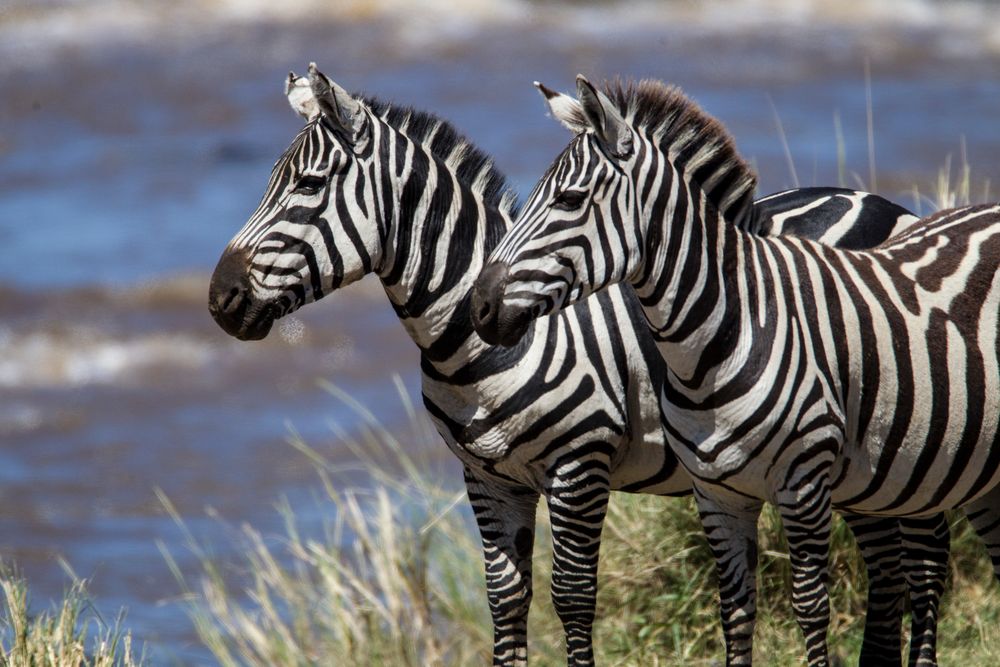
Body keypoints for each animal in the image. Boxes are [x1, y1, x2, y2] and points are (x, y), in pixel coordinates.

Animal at [205, 64, 944, 667]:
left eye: (307, 185)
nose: (218, 300)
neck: (477, 345)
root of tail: (886, 204)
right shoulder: (487, 476)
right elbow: (506, 599)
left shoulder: (578, 464)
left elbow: (572, 595)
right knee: (888, 567)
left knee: (922, 559)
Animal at [470, 74, 1000, 667]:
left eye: (569, 200)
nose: (479, 307)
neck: (720, 337)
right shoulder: (717, 494)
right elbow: (736, 610)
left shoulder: (803, 481)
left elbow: (810, 606)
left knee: (925, 561)